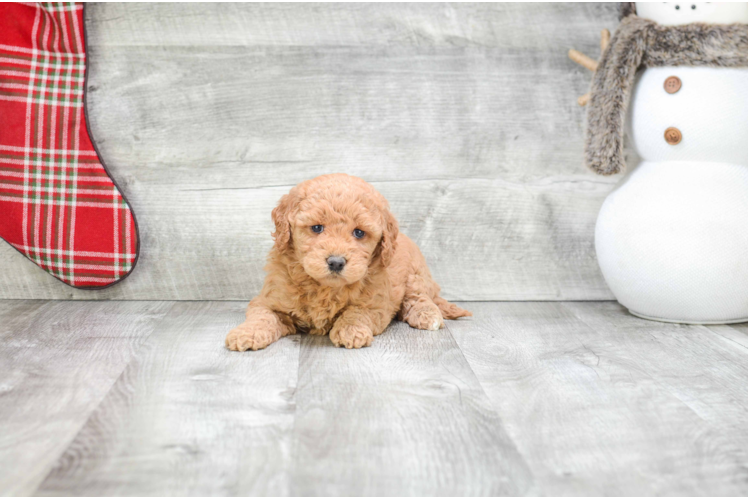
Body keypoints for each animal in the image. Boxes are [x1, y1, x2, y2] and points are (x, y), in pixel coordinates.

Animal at [228, 174, 470, 350]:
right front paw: (246, 333)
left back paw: (427, 315)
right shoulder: (267, 300)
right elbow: (262, 316)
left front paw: (351, 331)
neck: (324, 288)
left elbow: (356, 312)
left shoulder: (376, 304)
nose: (336, 262)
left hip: (416, 274)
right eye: (317, 228)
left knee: (419, 297)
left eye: (359, 232)